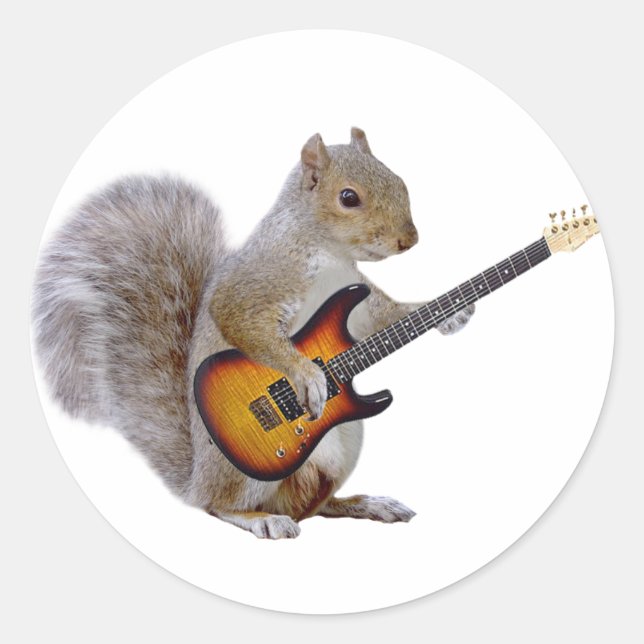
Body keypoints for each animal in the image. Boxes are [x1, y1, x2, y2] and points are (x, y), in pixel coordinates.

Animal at [32, 128, 474, 539]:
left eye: (399, 180)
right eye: (349, 197)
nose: (409, 239)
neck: (328, 253)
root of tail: (196, 480)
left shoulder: (359, 304)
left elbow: (387, 315)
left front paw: (448, 314)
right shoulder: (256, 286)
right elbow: (246, 325)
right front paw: (309, 376)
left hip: (344, 451)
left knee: (318, 507)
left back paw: (366, 504)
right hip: (240, 473)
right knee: (220, 506)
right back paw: (261, 519)